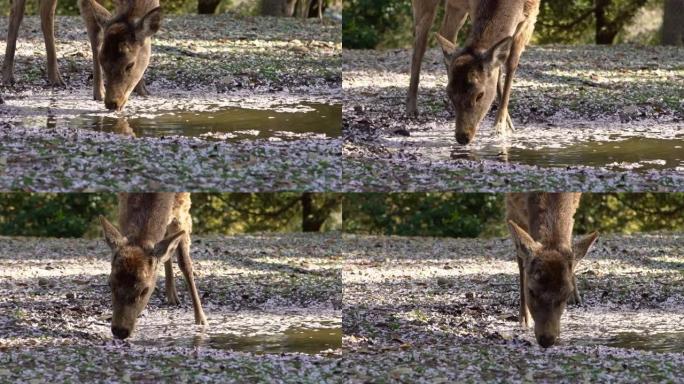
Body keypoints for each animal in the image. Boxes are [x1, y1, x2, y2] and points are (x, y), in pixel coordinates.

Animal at [406, 0, 540, 145]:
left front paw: (503, 125)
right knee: (420, 40)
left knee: (446, 33)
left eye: (480, 95)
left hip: (456, 7)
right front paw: (500, 125)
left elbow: (509, 65)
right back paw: (411, 109)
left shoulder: (530, 18)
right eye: (449, 94)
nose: (462, 137)